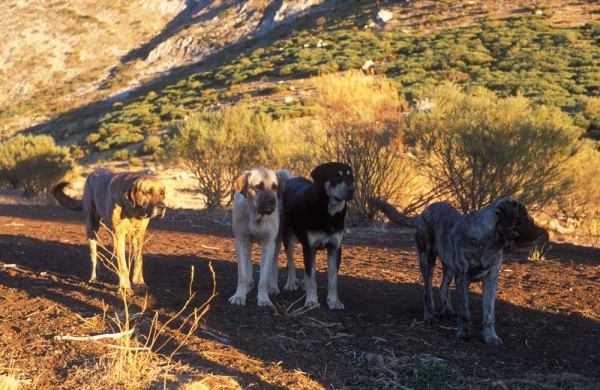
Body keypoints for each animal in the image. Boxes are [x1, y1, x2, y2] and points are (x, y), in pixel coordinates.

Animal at [282, 161, 356, 308]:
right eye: (336, 177)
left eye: (350, 178)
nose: (352, 190)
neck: (329, 213)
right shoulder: (309, 247)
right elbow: (312, 278)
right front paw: (311, 301)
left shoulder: (335, 248)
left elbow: (333, 279)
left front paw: (334, 301)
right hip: (287, 237)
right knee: (290, 261)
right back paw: (291, 283)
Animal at [368, 197, 548, 346]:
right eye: (522, 220)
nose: (544, 233)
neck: (490, 243)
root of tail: (422, 213)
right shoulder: (463, 279)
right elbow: (465, 311)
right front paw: (464, 334)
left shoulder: (491, 281)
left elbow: (489, 314)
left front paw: (490, 337)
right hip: (427, 260)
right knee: (427, 291)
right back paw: (429, 316)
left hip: (448, 266)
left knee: (443, 287)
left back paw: (447, 310)